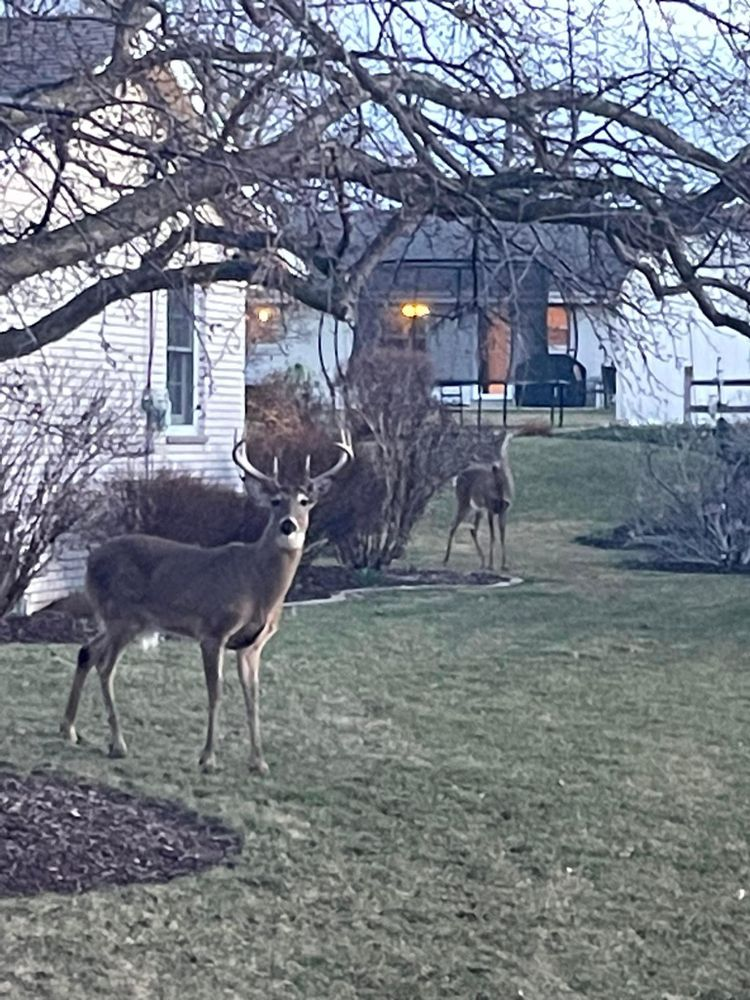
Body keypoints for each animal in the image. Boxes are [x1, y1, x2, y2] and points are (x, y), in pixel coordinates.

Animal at [60, 429, 353, 776]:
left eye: (304, 502)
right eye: (276, 502)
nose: (288, 525)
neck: (257, 584)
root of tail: (90, 560)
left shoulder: (253, 644)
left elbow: (253, 697)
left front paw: (259, 762)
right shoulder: (214, 631)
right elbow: (215, 692)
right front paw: (208, 758)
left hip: (118, 619)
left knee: (86, 651)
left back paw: (69, 729)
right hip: (123, 617)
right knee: (106, 668)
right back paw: (117, 744)